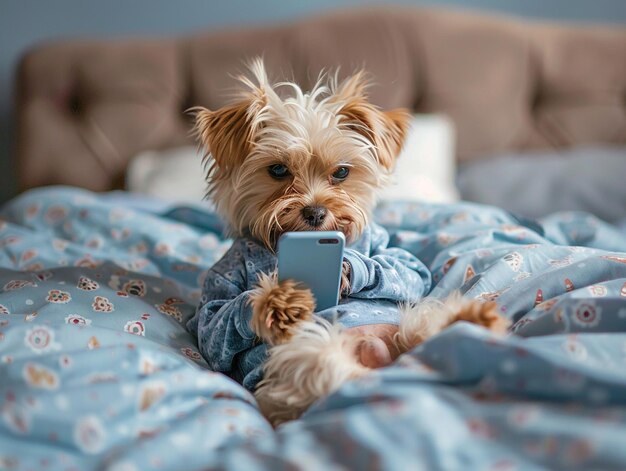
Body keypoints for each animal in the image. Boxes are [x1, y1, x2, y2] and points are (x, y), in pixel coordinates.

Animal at [186, 58, 508, 424]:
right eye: (278, 170)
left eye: (341, 172)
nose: (315, 212)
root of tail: (381, 364)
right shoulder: (218, 286)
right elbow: (215, 327)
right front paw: (277, 301)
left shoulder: (395, 255)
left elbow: (409, 270)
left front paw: (348, 268)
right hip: (303, 356)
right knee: (326, 370)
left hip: (413, 319)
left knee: (425, 331)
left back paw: (473, 319)